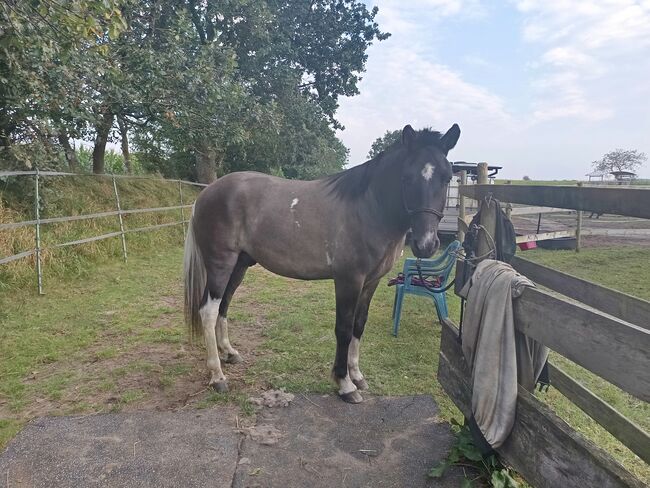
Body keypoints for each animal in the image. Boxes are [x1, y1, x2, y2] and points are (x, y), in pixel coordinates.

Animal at [182, 124, 456, 402]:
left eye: (447, 178)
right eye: (407, 178)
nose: (426, 244)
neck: (368, 209)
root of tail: (206, 193)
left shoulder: (371, 282)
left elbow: (359, 325)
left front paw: (357, 375)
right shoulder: (348, 280)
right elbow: (344, 328)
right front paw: (345, 384)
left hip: (239, 266)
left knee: (224, 305)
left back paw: (230, 353)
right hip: (221, 264)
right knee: (208, 311)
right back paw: (217, 376)